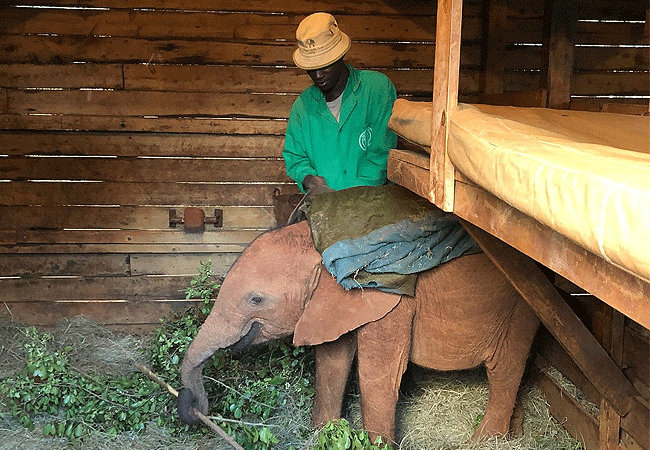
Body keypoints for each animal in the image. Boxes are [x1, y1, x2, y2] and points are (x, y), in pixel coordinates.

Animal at [176, 221, 536, 442]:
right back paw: (514, 434)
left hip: (520, 310)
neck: (318, 242)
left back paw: (484, 441)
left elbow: (377, 376)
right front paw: (325, 434)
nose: (191, 405)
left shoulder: (390, 300)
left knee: (504, 370)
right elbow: (332, 360)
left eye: (256, 299)